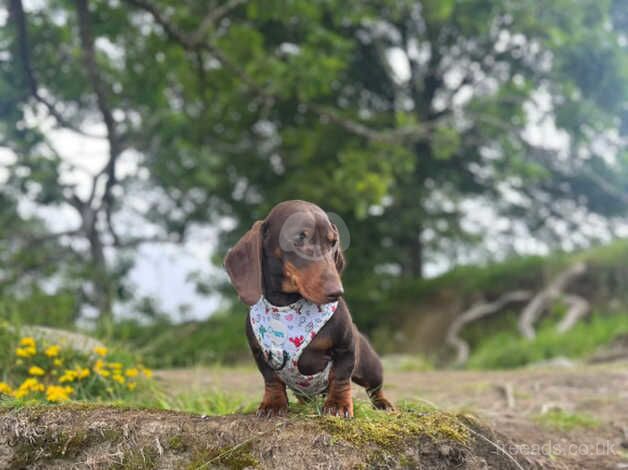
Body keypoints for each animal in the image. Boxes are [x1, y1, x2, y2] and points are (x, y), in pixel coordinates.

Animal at [224, 200, 392, 416]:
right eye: (299, 239)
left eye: (333, 242)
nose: (337, 292)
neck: (286, 303)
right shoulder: (260, 354)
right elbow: (271, 380)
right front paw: (273, 404)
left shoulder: (345, 348)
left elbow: (340, 377)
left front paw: (337, 405)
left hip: (369, 366)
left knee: (374, 388)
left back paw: (383, 404)